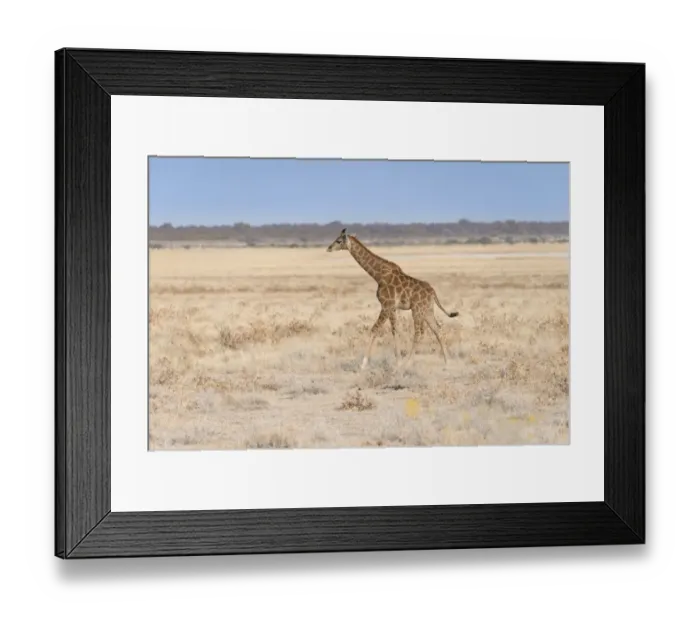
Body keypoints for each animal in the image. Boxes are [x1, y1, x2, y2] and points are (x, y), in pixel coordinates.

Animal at [326, 228, 459, 369]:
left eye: (338, 241)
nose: (328, 248)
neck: (378, 275)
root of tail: (433, 292)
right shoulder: (392, 307)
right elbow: (395, 330)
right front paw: (398, 361)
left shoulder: (386, 305)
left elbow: (374, 330)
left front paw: (363, 364)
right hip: (427, 310)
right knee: (437, 329)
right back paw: (447, 363)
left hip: (417, 310)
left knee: (419, 333)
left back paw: (409, 363)